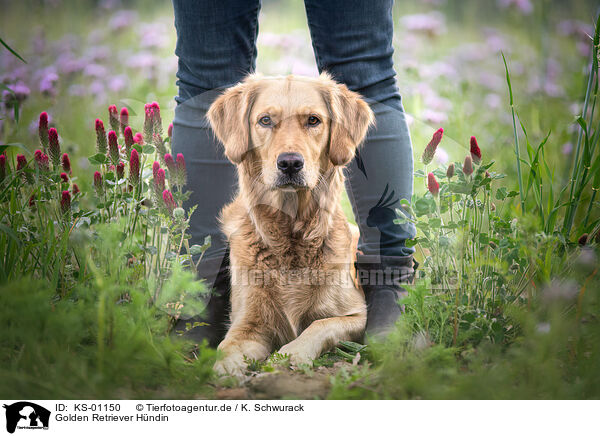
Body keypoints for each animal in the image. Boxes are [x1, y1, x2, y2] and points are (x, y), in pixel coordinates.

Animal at [209, 73, 372, 376]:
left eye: (313, 120)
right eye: (265, 120)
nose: (290, 163)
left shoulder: (358, 313)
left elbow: (320, 324)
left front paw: (291, 354)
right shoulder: (247, 323)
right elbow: (227, 345)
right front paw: (224, 367)